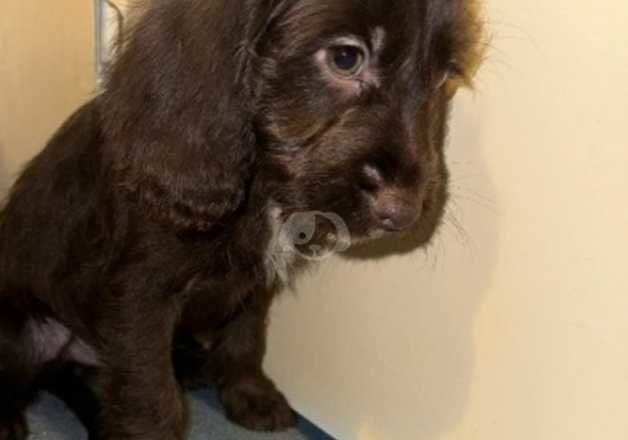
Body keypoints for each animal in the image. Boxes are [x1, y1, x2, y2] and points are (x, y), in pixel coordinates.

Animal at [0, 1, 480, 438]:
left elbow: (245, 338)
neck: (260, 183)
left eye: (443, 76)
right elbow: (150, 396)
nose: (405, 213)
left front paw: (249, 395)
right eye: (346, 57)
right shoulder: (139, 296)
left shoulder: (253, 280)